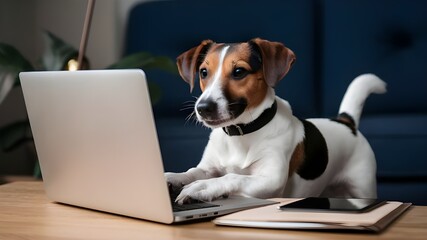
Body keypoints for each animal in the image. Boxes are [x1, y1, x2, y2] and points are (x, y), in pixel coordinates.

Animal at [166, 38, 386, 204]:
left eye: (239, 72)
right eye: (203, 72)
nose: (202, 108)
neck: (242, 133)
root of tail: (345, 122)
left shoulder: (271, 180)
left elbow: (232, 176)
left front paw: (202, 187)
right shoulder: (208, 168)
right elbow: (192, 172)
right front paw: (172, 177)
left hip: (363, 186)